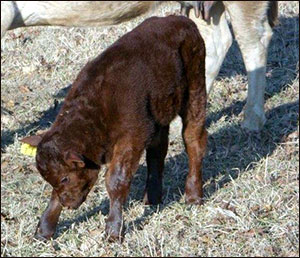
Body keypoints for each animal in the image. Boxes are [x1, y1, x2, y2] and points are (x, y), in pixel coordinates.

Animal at [21, 15, 207, 242]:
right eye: (49, 178)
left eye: (66, 177)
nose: (68, 204)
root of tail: (181, 20)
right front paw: (44, 229)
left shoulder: (132, 136)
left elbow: (116, 180)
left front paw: (113, 230)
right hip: (159, 112)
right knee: (157, 151)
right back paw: (152, 198)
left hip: (195, 89)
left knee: (193, 140)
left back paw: (193, 196)